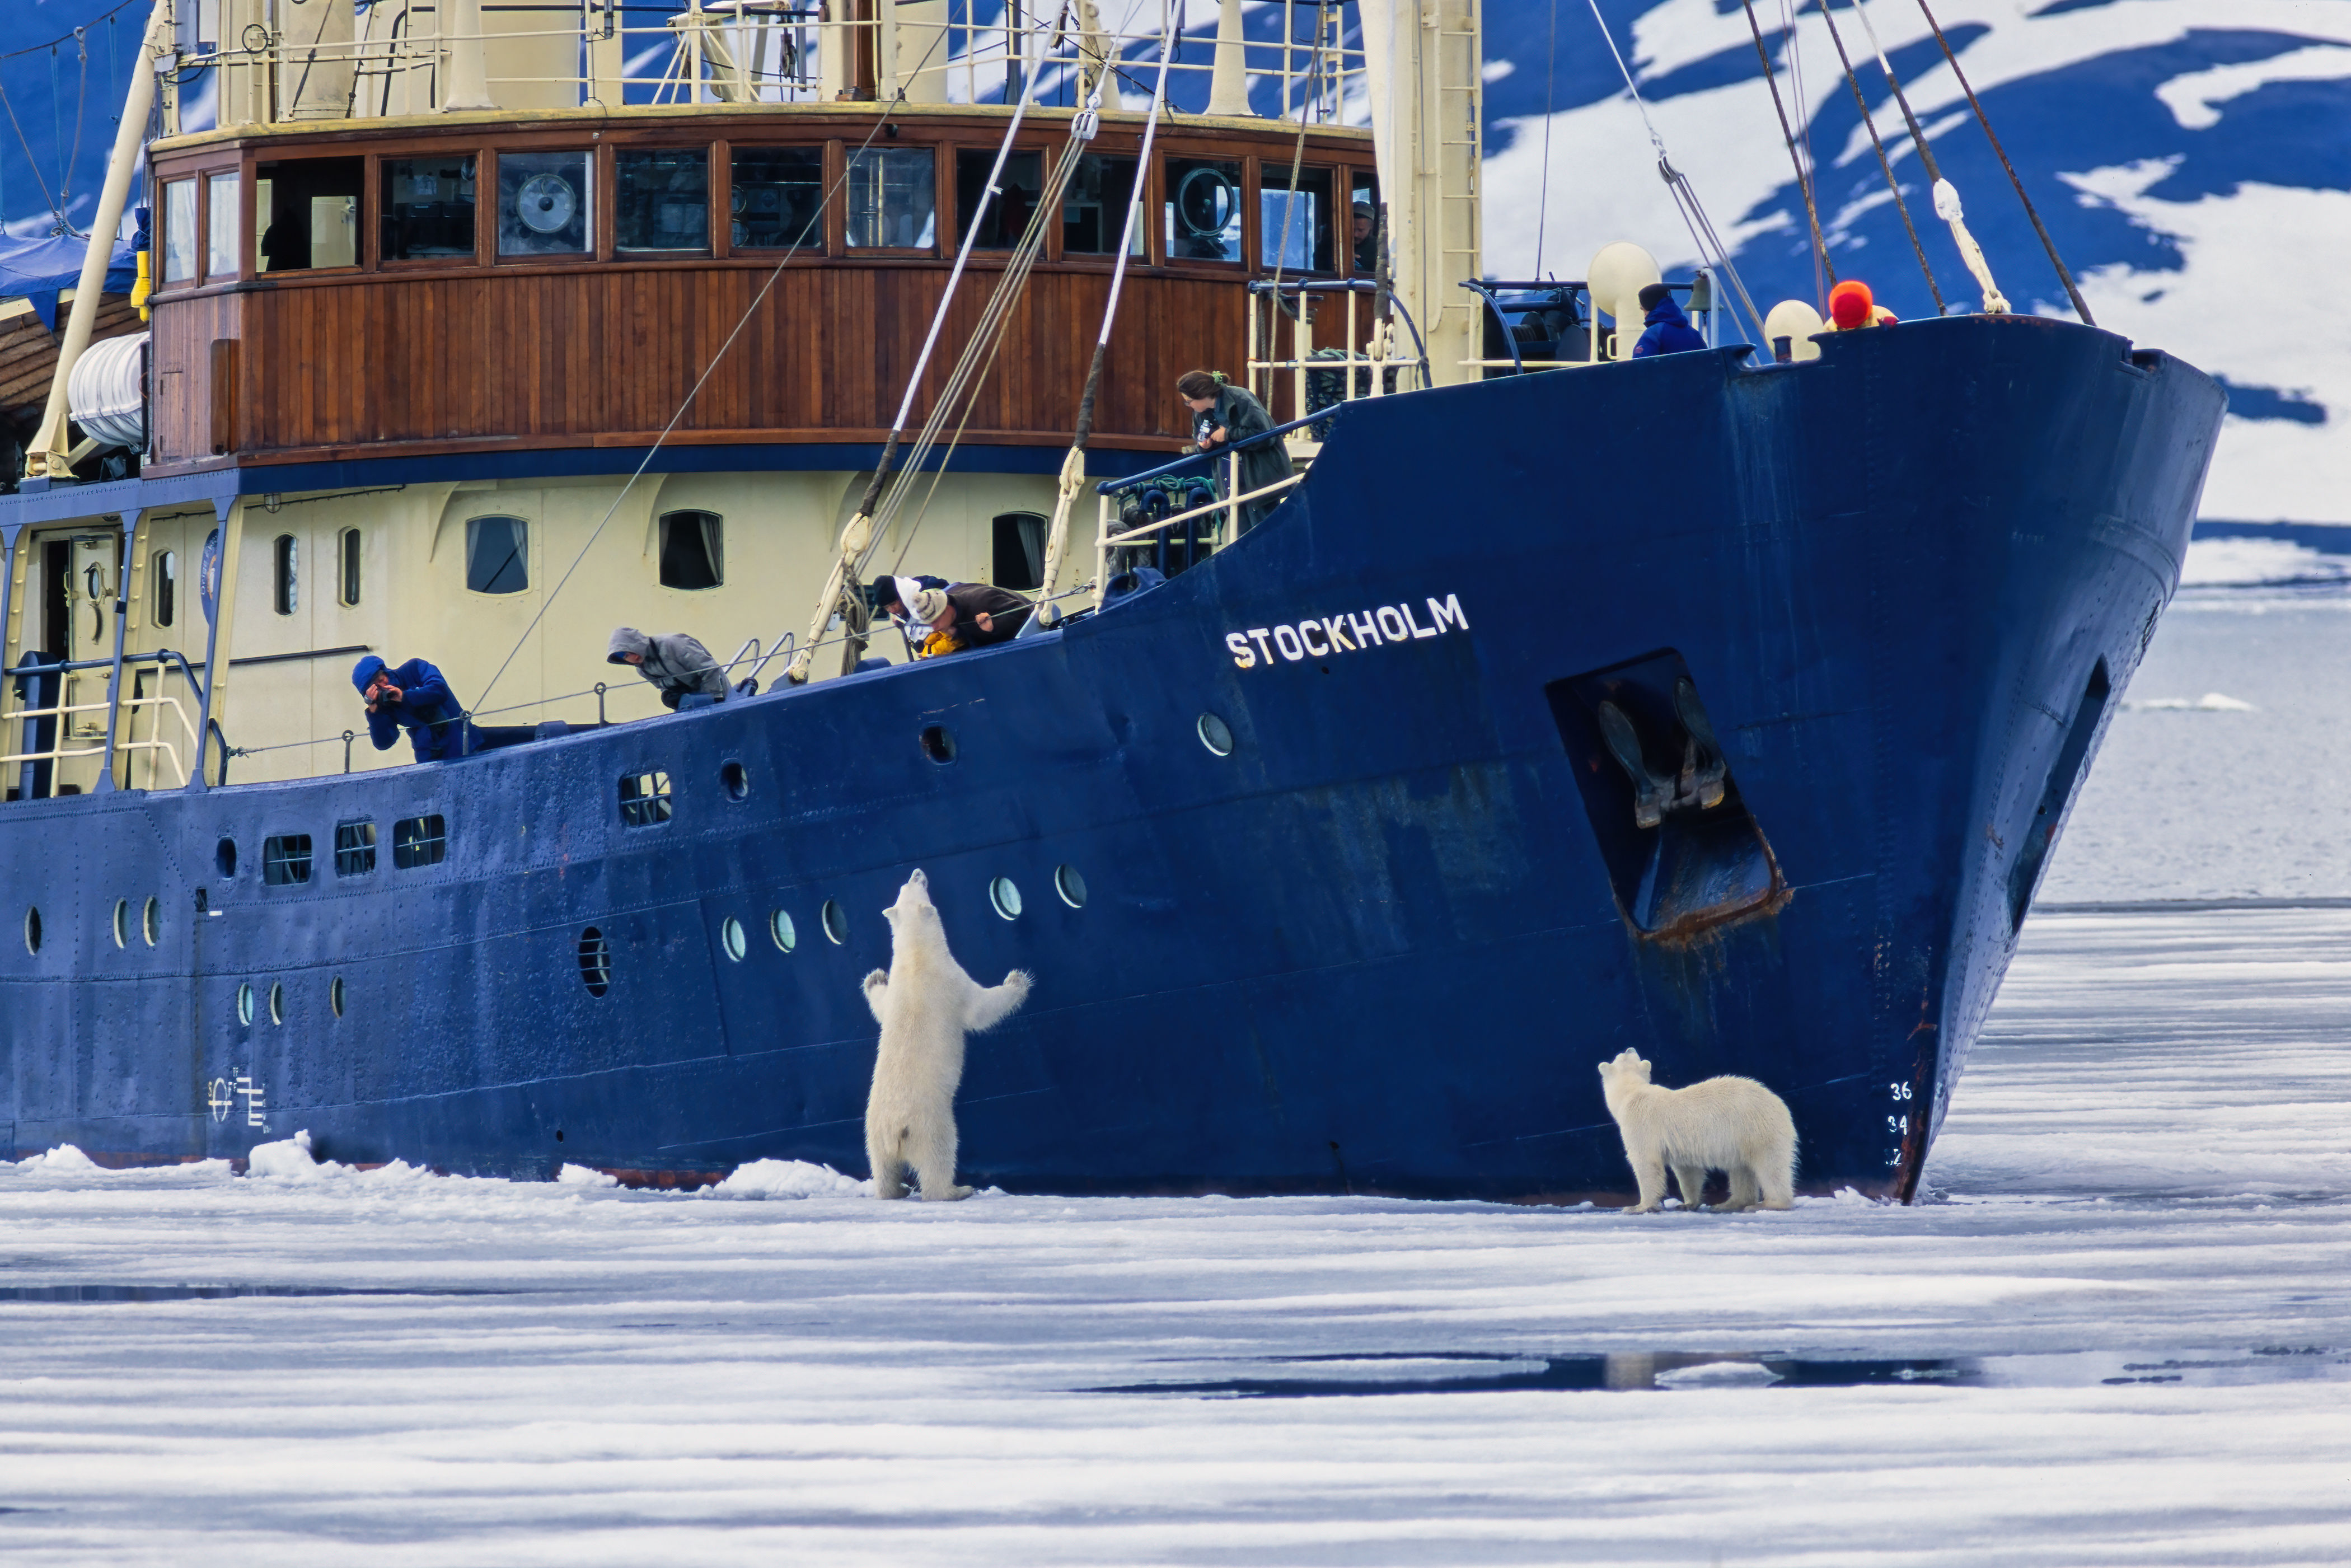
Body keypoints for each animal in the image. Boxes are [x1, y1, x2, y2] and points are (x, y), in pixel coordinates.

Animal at [861, 869, 1031, 1201]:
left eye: (905, 884)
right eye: (916, 885)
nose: (918, 872)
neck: (917, 959)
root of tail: (895, 1131)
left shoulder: (896, 993)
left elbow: (880, 1003)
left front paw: (874, 978)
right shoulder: (951, 982)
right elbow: (980, 1008)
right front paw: (1018, 981)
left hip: (872, 1132)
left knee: (883, 1167)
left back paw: (895, 1189)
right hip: (930, 1124)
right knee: (940, 1155)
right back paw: (957, 1189)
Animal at [1597, 1048, 1797, 1213]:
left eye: (1623, 1054)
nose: (1630, 1048)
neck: (1631, 1093)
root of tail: (1779, 1104)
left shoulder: (1640, 1123)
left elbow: (1646, 1162)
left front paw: (1638, 1207)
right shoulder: (1681, 1146)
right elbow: (1688, 1171)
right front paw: (1687, 1204)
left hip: (1757, 1129)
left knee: (1770, 1165)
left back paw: (1771, 1204)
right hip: (1742, 1137)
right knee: (1741, 1168)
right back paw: (1728, 1204)